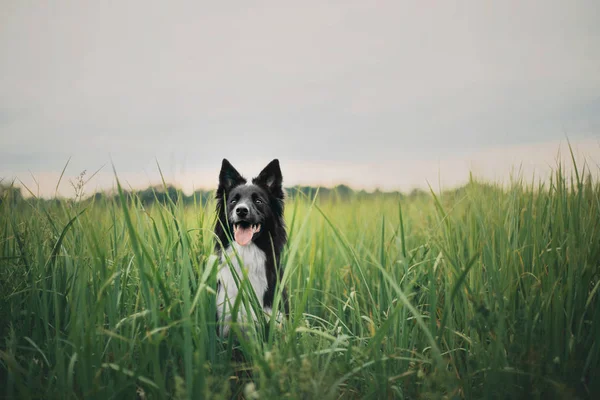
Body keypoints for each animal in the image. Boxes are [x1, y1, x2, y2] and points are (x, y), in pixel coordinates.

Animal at [214, 158, 290, 336]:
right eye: (233, 201)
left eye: (258, 201)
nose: (241, 210)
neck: (247, 252)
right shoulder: (226, 323)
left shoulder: (275, 319)